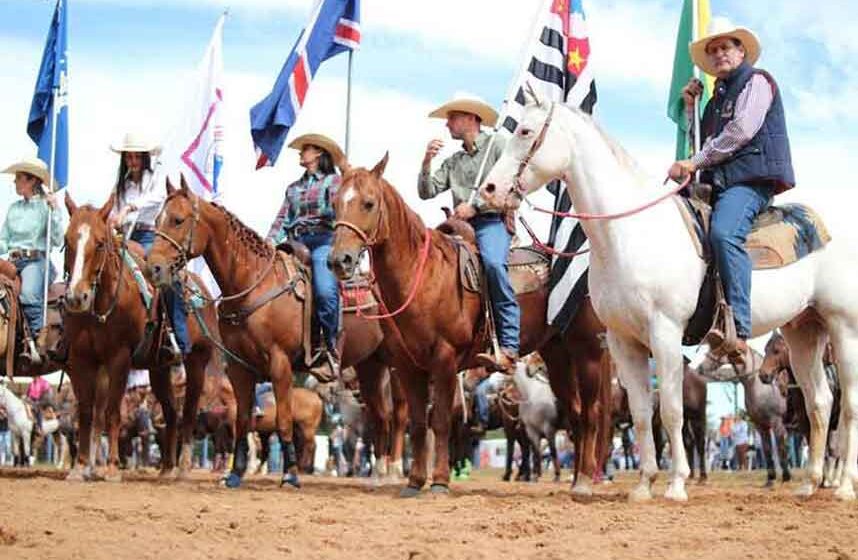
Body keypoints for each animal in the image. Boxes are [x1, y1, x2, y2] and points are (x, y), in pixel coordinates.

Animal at [62, 194, 216, 482]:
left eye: (99, 243)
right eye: (67, 241)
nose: (76, 297)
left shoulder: (119, 358)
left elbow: (112, 412)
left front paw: (112, 468)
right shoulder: (81, 359)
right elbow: (86, 412)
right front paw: (79, 467)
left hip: (197, 362)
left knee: (188, 412)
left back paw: (183, 468)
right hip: (158, 369)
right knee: (171, 412)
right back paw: (166, 468)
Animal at [146, 179, 408, 490]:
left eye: (178, 220)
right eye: (156, 220)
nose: (153, 267)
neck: (253, 285)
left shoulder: (280, 362)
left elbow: (283, 419)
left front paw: (290, 474)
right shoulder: (239, 368)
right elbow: (243, 422)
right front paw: (235, 474)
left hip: (398, 368)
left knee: (397, 417)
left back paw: (393, 471)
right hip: (370, 367)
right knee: (380, 418)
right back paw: (379, 475)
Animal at [326, 155, 616, 496]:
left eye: (369, 203)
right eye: (335, 203)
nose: (339, 260)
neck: (423, 276)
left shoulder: (445, 360)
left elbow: (439, 421)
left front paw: (439, 481)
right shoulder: (408, 367)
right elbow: (418, 424)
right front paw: (414, 481)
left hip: (587, 353)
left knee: (592, 413)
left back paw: (584, 480)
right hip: (557, 357)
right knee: (576, 413)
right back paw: (574, 480)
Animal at [478, 92, 856, 504]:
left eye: (525, 131)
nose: (489, 190)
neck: (628, 234)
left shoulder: (666, 333)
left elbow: (671, 411)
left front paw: (676, 484)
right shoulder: (623, 341)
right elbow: (644, 413)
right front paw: (644, 484)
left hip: (843, 329)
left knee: (848, 406)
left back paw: (843, 486)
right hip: (804, 331)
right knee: (820, 402)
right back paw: (810, 483)